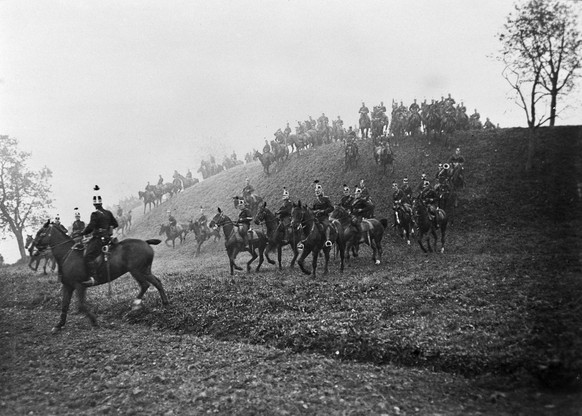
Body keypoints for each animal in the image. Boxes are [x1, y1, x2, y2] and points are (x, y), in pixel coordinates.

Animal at [31, 223, 169, 334]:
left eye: (41, 233)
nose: (33, 249)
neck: (67, 255)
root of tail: (145, 242)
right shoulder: (68, 286)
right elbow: (64, 305)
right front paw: (59, 325)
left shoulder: (79, 286)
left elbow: (81, 305)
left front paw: (94, 321)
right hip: (144, 271)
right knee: (156, 282)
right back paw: (164, 303)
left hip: (138, 271)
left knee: (146, 284)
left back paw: (136, 304)